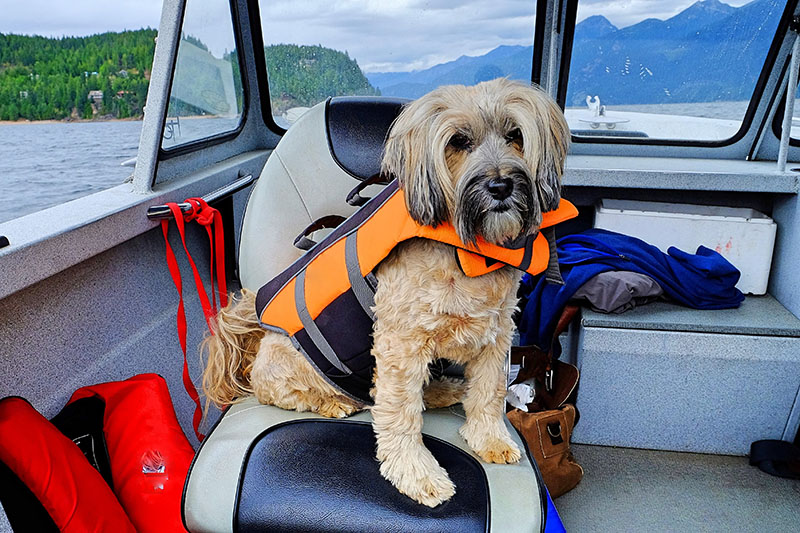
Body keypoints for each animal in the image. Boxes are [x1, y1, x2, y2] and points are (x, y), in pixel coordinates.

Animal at [203, 77, 572, 504]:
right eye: (458, 141)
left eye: (515, 135)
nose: (500, 185)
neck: (468, 251)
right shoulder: (401, 343)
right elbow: (399, 414)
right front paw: (416, 473)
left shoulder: (495, 334)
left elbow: (489, 392)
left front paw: (489, 438)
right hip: (290, 364)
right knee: (291, 393)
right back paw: (332, 402)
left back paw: (442, 391)